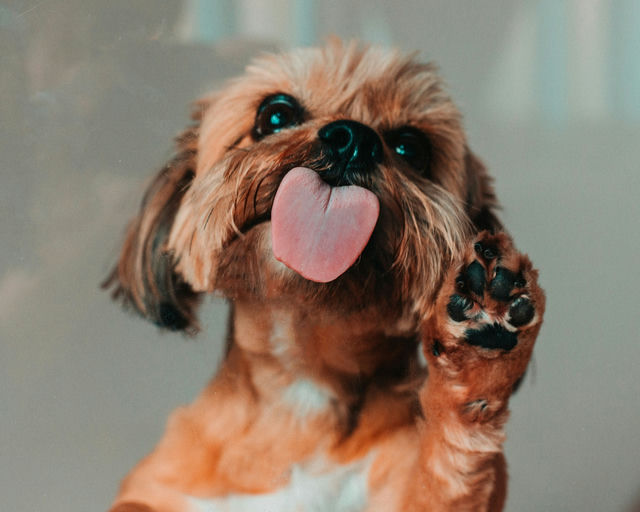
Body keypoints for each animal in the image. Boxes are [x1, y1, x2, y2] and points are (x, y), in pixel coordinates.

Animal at [105, 41, 544, 512]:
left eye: (412, 147)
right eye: (275, 115)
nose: (354, 138)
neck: (304, 380)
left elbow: (446, 466)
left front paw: (483, 351)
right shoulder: (159, 489)